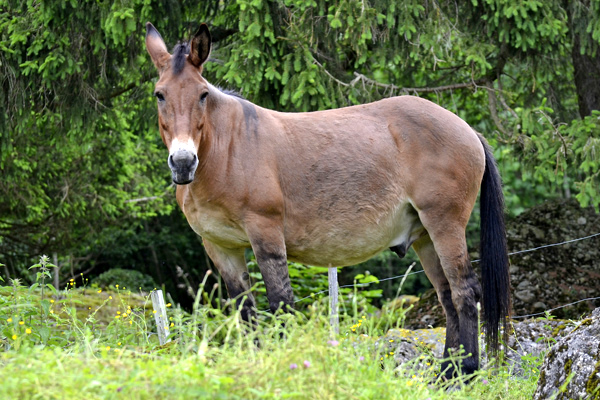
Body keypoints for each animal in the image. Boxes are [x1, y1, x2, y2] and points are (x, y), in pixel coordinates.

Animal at [145, 22, 510, 378]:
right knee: (448, 296)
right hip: (425, 237)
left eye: (203, 95)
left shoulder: (265, 235)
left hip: (444, 226)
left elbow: (281, 304)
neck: (227, 150)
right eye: (159, 94)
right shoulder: (222, 248)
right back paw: (448, 374)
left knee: (465, 292)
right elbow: (245, 312)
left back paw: (465, 373)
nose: (182, 163)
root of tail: (467, 130)